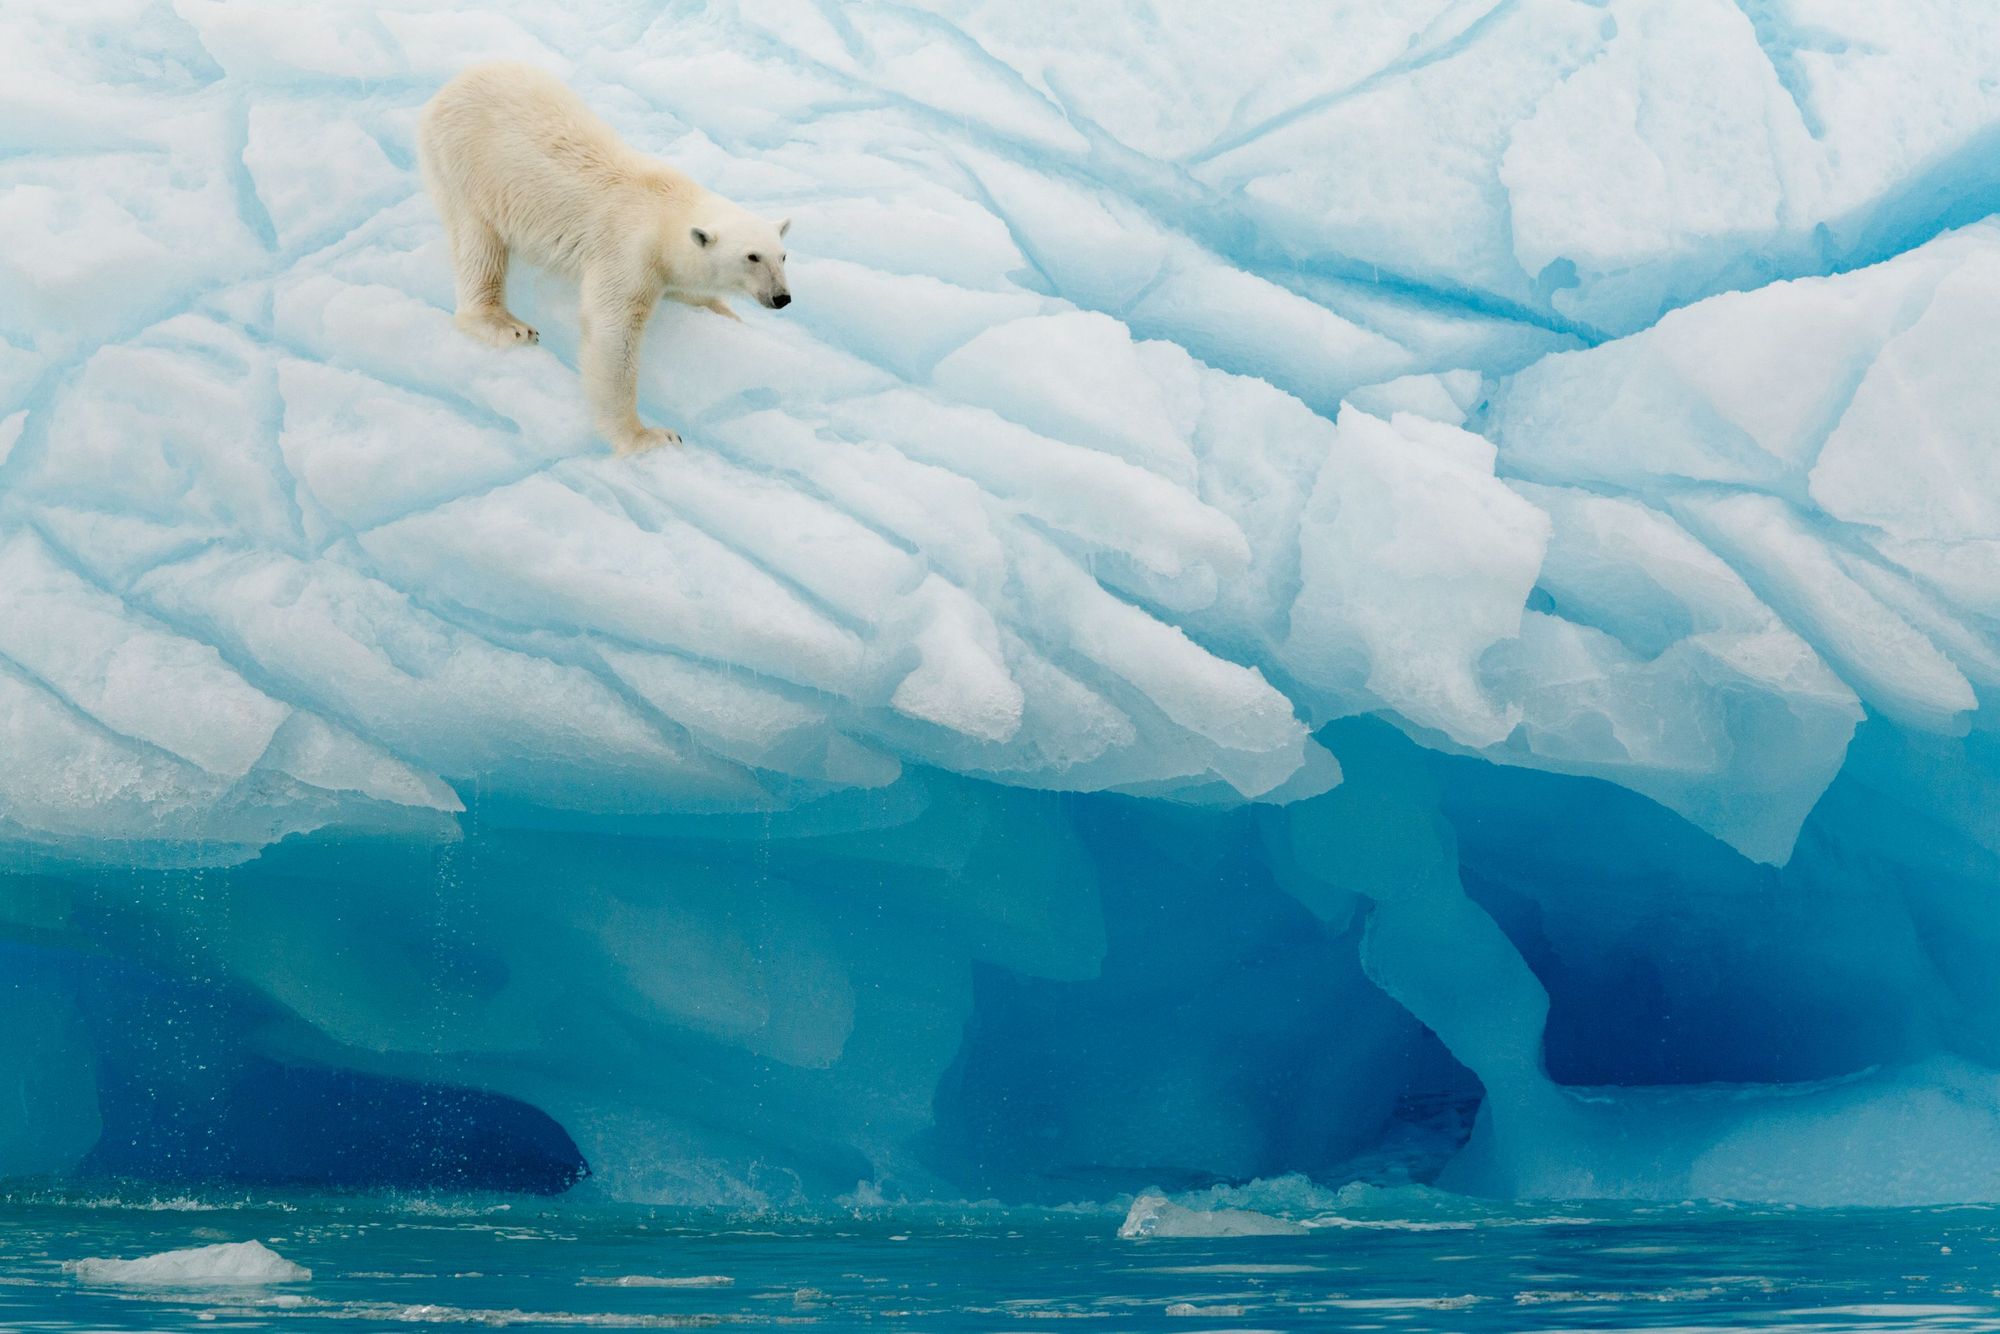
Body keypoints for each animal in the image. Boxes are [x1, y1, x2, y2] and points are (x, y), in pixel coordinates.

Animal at [418, 64, 792, 454]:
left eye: (783, 255)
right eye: (752, 257)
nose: (782, 298)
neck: (666, 207)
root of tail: (448, 89)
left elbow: (685, 288)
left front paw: (726, 313)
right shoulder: (628, 252)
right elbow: (614, 333)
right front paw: (649, 436)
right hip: (466, 166)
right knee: (479, 241)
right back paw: (508, 324)